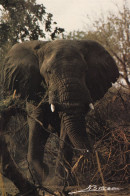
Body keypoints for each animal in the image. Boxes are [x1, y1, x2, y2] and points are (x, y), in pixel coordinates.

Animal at [2, 39, 119, 188]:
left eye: (85, 71)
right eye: (48, 72)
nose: (100, 160)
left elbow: (66, 126)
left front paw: (60, 182)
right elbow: (36, 122)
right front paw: (43, 177)